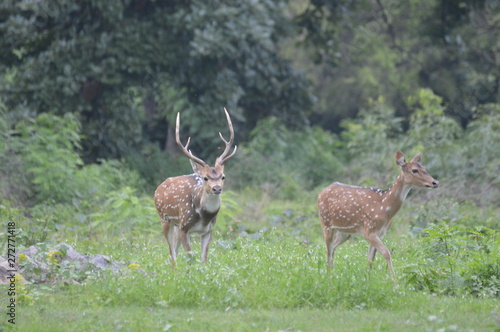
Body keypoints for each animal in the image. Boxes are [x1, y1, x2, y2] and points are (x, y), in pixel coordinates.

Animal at [154, 109, 236, 270]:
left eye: (223, 177)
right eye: (205, 178)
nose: (217, 188)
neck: (204, 216)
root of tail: (159, 188)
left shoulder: (208, 230)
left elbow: (204, 258)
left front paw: (203, 273)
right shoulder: (185, 227)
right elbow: (190, 257)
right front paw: (190, 274)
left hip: (176, 224)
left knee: (174, 249)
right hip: (165, 218)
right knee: (171, 252)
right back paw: (175, 271)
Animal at [318, 152, 440, 282]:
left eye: (425, 168)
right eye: (415, 170)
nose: (435, 182)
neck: (384, 207)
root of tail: (321, 192)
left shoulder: (379, 233)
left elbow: (370, 260)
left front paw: (368, 280)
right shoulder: (369, 230)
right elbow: (387, 253)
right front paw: (395, 283)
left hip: (345, 232)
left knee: (333, 248)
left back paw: (331, 274)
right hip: (326, 223)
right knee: (329, 249)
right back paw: (329, 278)